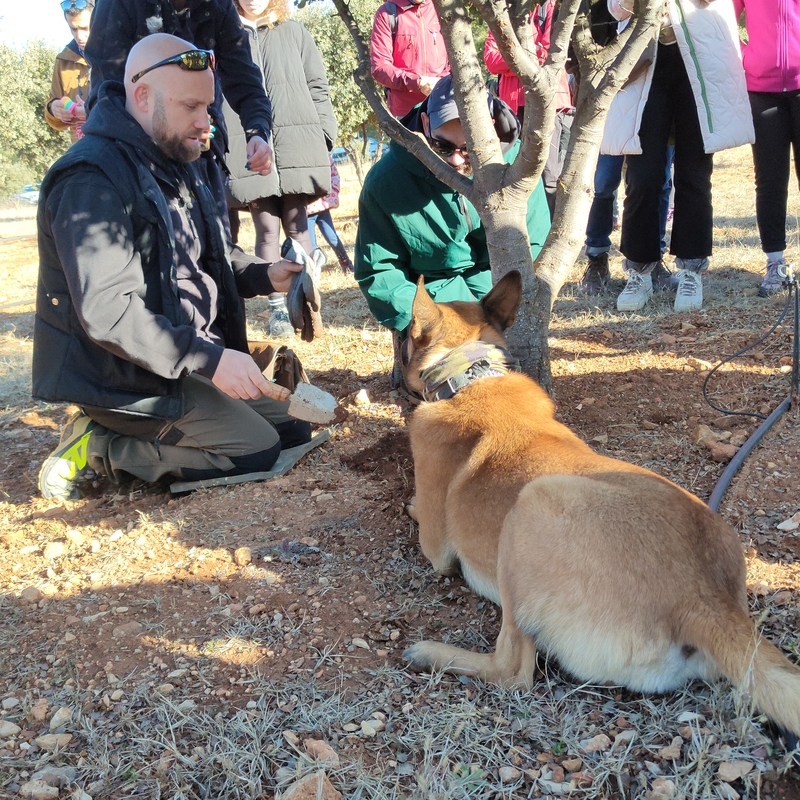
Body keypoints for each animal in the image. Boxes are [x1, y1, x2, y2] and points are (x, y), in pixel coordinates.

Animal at [404, 270, 800, 752]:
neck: (471, 376)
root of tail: (702, 599)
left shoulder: (437, 547)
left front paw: (411, 505)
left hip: (531, 506)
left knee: (513, 672)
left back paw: (430, 653)